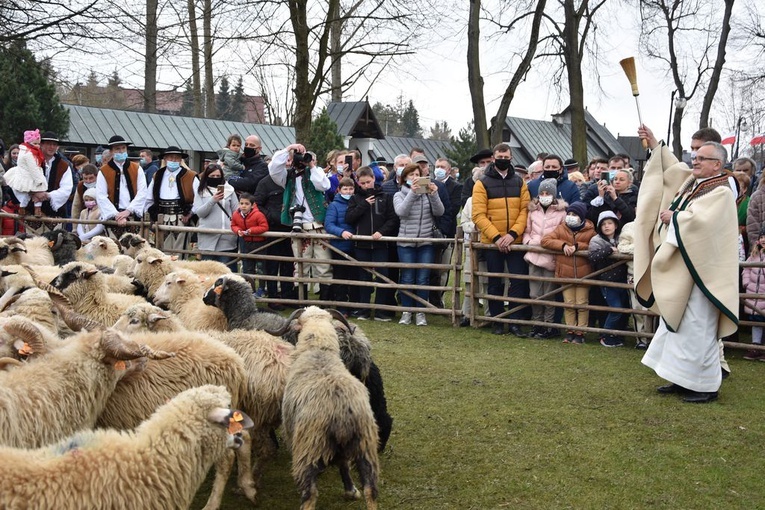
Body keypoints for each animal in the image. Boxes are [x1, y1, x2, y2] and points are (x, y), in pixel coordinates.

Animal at [278, 304, 380, 508]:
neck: (319, 352)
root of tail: (341, 412)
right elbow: (343, 465)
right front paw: (350, 490)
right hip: (365, 444)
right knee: (370, 490)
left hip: (309, 447)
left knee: (310, 494)